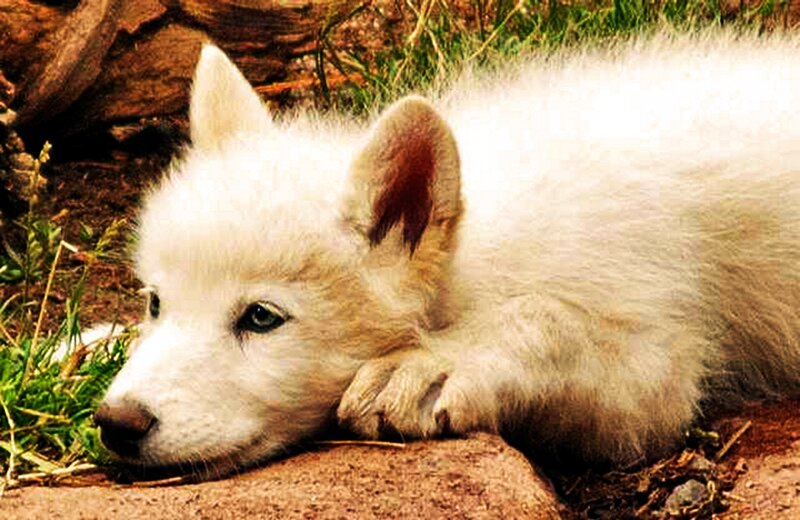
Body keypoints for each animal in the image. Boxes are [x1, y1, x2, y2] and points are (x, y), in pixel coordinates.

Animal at [95, 31, 800, 477]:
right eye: (156, 302)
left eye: (261, 318)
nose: (115, 421)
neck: (478, 250)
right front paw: (82, 343)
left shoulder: (652, 362)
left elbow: (551, 322)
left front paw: (435, 364)